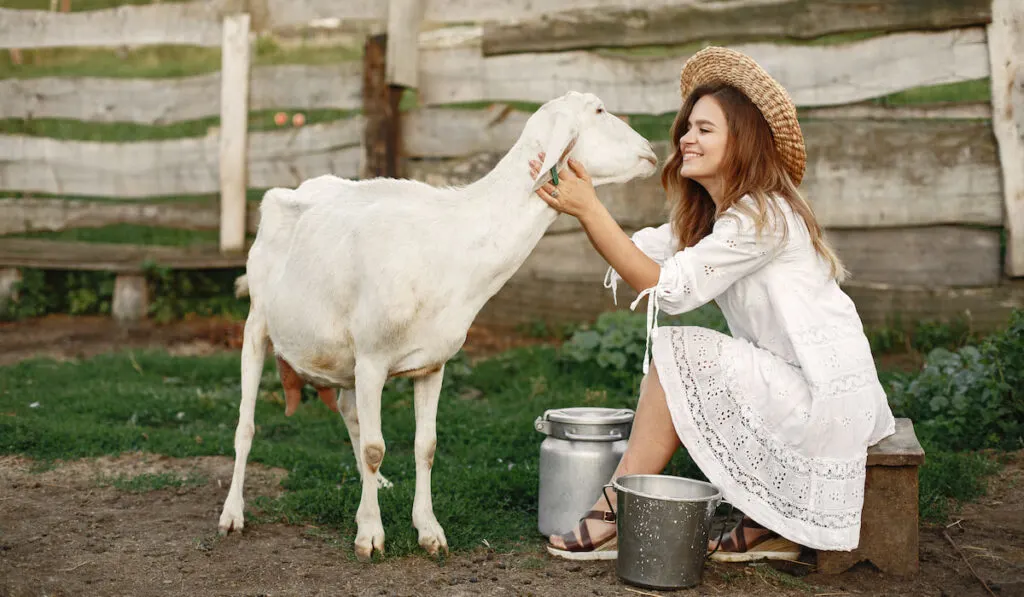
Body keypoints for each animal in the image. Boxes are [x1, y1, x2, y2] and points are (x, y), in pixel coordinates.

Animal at [220, 92, 659, 561]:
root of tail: (289, 191)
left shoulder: (431, 364)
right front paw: (370, 536)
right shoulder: (372, 359)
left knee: (348, 411)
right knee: (246, 425)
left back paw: (375, 486)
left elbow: (425, 446)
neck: (453, 242)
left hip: (342, 357)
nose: (650, 152)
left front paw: (428, 530)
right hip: (258, 323)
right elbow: (376, 447)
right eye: (599, 111)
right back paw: (232, 514)